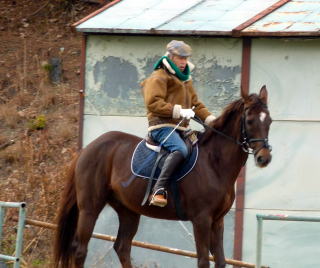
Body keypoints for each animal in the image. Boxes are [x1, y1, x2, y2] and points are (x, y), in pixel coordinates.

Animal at [53, 86, 272, 268]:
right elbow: (203, 261)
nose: (264, 158)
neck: (214, 163)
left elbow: (220, 261)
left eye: (269, 121)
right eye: (250, 121)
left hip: (128, 211)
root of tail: (87, 148)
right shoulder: (201, 219)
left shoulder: (217, 221)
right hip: (90, 208)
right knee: (80, 249)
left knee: (122, 247)